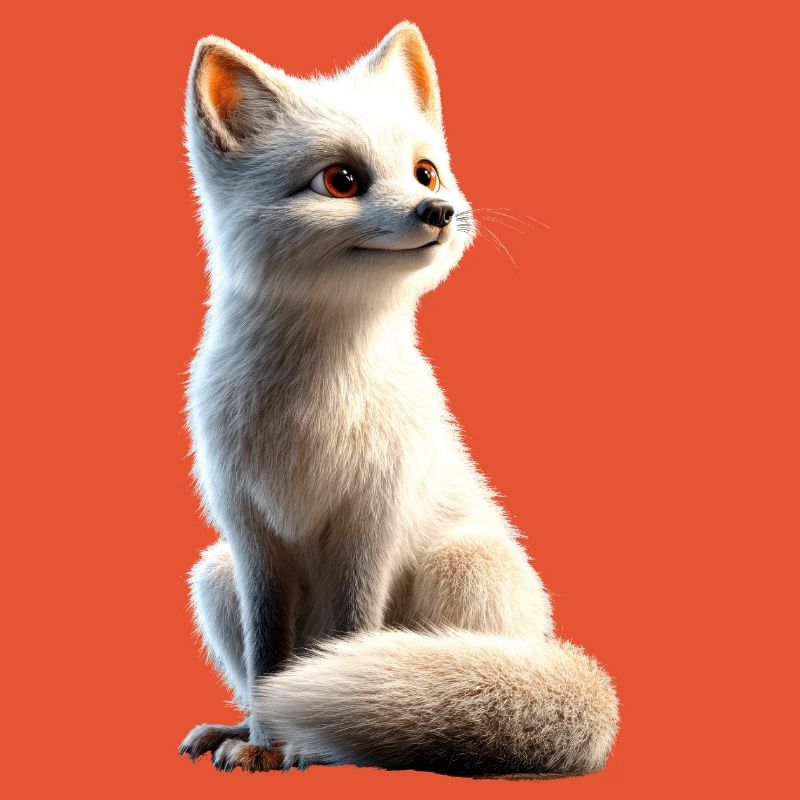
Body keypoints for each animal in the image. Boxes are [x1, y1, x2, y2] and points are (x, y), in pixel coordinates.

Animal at [179, 21, 618, 777]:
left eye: (425, 172)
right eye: (342, 179)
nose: (438, 211)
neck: (313, 406)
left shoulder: (373, 518)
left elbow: (353, 633)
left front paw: (310, 747)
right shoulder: (251, 533)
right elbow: (269, 661)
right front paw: (263, 740)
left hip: (464, 565)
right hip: (214, 575)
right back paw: (239, 728)